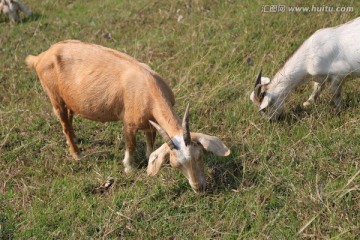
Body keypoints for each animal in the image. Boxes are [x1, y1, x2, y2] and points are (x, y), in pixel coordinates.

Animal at [27, 39, 231, 193]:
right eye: (176, 165)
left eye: (200, 156)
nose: (199, 188)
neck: (148, 88)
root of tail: (40, 57)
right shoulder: (129, 123)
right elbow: (131, 146)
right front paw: (129, 168)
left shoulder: (150, 123)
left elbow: (150, 142)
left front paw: (149, 158)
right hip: (55, 98)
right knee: (64, 124)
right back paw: (77, 155)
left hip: (68, 99)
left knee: (69, 119)